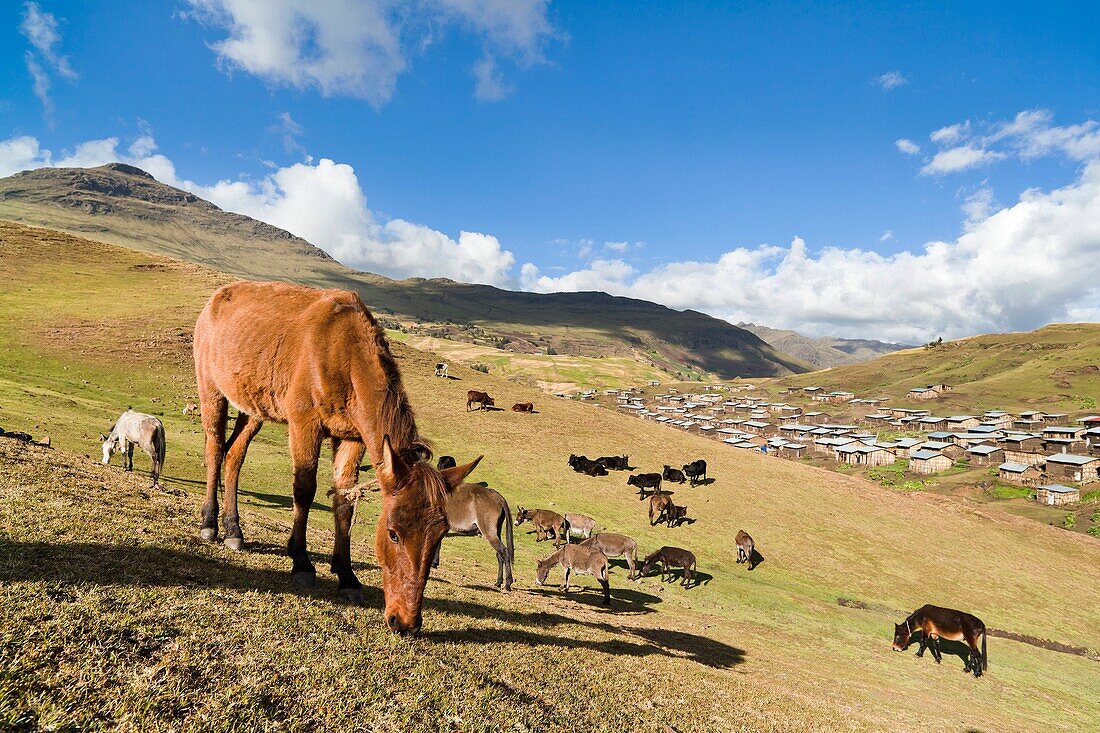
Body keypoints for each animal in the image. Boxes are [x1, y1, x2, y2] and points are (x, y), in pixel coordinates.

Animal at [192, 279, 481, 633]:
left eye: (439, 535)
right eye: (393, 534)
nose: (405, 621)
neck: (344, 354)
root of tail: (214, 300)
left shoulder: (352, 437)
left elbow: (345, 501)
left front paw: (346, 576)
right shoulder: (304, 422)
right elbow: (304, 490)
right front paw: (301, 561)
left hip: (253, 406)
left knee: (234, 455)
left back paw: (234, 530)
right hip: (211, 389)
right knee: (214, 449)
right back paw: (209, 523)